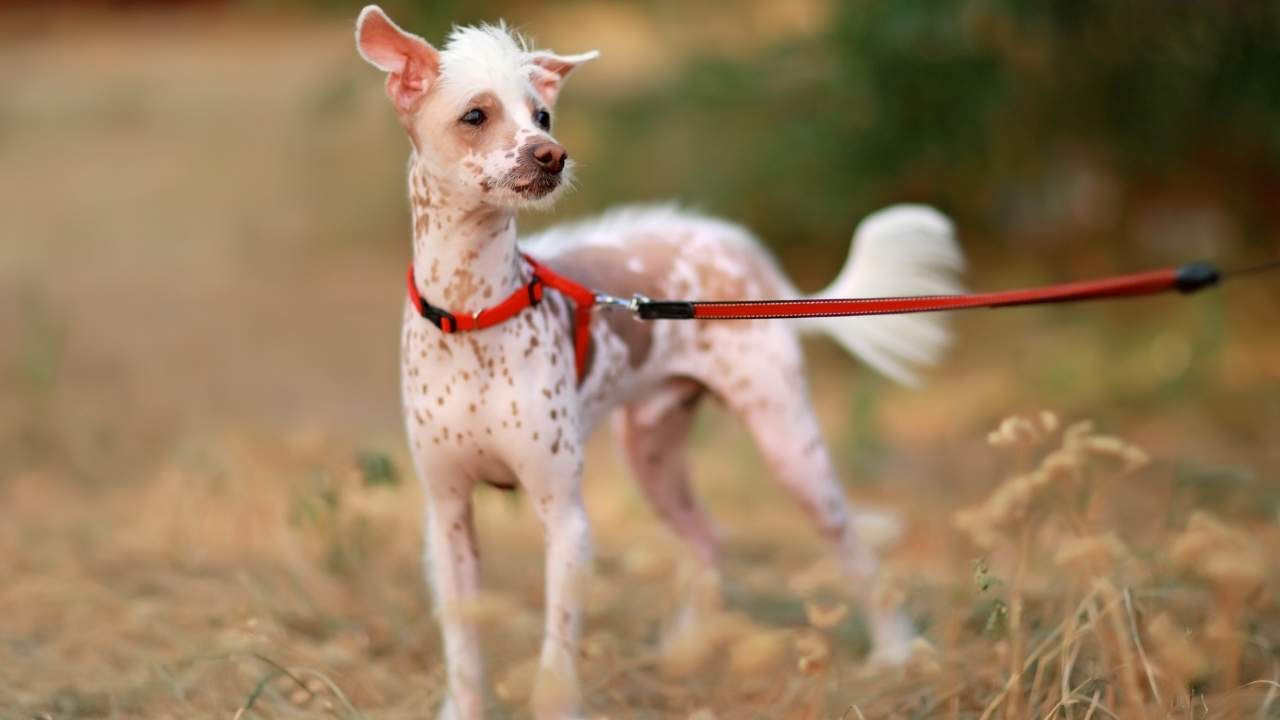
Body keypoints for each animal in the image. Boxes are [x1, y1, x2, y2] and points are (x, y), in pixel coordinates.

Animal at [355, 7, 962, 717]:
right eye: (475, 115)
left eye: (543, 115)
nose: (551, 154)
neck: (474, 315)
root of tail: (752, 257)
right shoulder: (447, 516)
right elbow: (463, 651)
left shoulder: (566, 519)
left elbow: (556, 661)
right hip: (652, 452)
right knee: (708, 537)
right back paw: (687, 649)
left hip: (789, 444)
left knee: (852, 546)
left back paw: (894, 651)